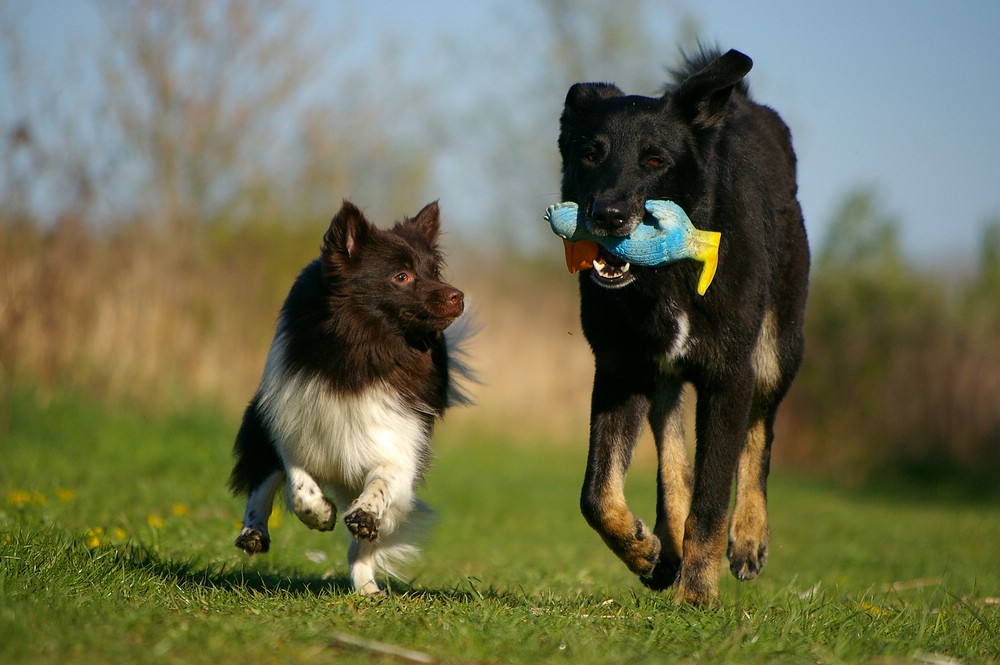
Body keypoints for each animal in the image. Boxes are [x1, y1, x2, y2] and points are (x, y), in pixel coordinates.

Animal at [560, 49, 808, 604]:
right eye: (590, 155)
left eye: (654, 161)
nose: (607, 215)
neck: (666, 277)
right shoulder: (621, 370)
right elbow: (596, 494)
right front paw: (642, 549)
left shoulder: (729, 378)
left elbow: (711, 501)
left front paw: (696, 594)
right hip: (665, 382)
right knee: (673, 460)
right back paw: (665, 548)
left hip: (776, 351)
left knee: (761, 434)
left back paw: (748, 537)